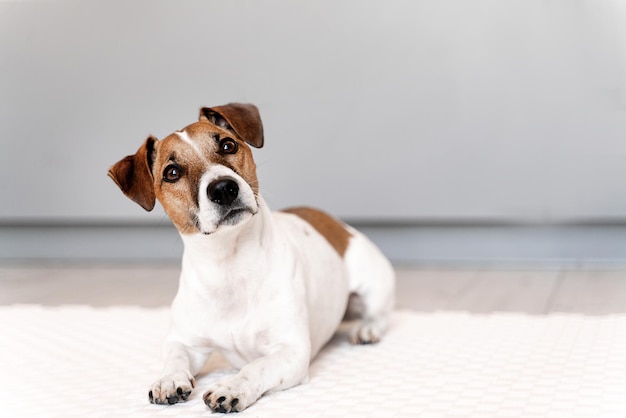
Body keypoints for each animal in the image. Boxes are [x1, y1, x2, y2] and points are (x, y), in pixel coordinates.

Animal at [105, 103, 392, 414]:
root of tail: (334, 223)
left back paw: (368, 329)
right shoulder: (185, 341)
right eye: (172, 172)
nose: (223, 188)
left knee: (381, 315)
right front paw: (169, 378)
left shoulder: (291, 351)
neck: (229, 264)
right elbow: (174, 355)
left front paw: (232, 387)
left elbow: (256, 367)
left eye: (228, 145)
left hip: (373, 287)